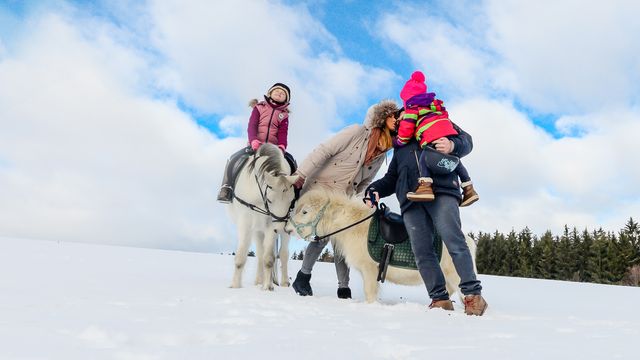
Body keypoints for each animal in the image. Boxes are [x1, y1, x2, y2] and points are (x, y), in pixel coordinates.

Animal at [228, 143, 298, 290]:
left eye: (291, 200)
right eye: (270, 200)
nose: (280, 228)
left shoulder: (271, 225)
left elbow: (269, 258)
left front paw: (267, 287)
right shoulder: (245, 222)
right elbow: (241, 256)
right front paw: (235, 286)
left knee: (283, 254)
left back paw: (283, 282)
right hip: (257, 229)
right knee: (260, 254)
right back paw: (258, 281)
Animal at [288, 190, 478, 302]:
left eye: (304, 211)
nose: (287, 228)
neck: (355, 225)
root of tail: (468, 241)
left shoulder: (370, 270)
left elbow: (370, 293)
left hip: (456, 276)